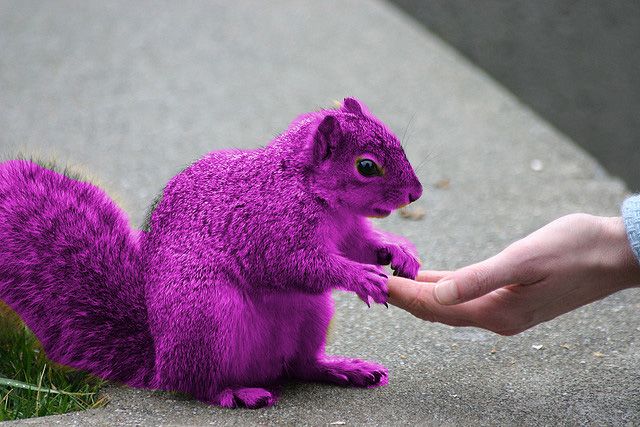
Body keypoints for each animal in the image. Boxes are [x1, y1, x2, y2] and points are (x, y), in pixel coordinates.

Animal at [0, 98, 422, 409]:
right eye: (366, 166)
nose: (415, 193)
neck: (309, 189)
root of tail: (160, 362)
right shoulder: (268, 231)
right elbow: (296, 265)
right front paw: (359, 276)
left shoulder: (348, 231)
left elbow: (360, 247)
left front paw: (399, 251)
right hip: (206, 318)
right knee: (199, 385)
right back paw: (235, 392)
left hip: (312, 315)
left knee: (301, 365)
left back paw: (340, 369)